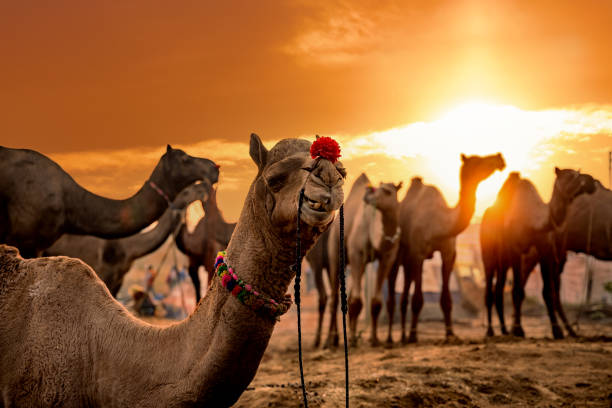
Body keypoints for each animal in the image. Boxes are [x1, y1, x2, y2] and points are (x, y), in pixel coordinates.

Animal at [388, 155, 506, 342]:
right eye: (477, 160)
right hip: (399, 253)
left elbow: (446, 299)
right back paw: (394, 337)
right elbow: (418, 299)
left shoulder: (449, 253)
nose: (499, 158)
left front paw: (450, 333)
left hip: (408, 260)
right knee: (394, 286)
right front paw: (414, 335)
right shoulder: (418, 253)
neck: (439, 223)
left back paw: (404, 335)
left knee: (406, 287)